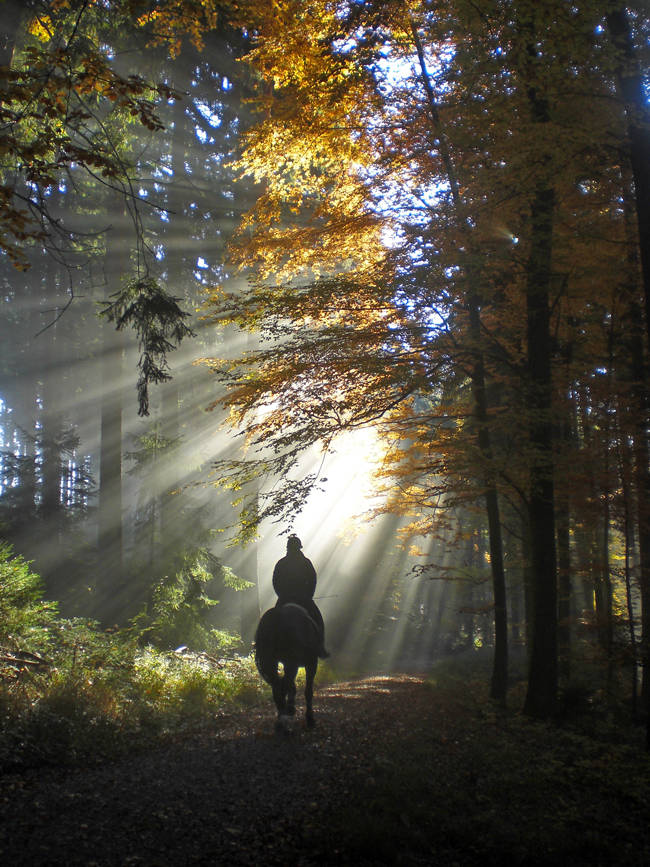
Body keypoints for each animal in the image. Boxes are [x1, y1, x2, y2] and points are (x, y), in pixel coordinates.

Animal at [256, 604, 322, 732]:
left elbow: (292, 687)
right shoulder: (311, 663)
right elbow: (308, 691)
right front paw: (310, 718)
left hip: (270, 662)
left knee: (278, 687)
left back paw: (281, 721)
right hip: (292, 662)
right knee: (283, 685)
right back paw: (284, 721)